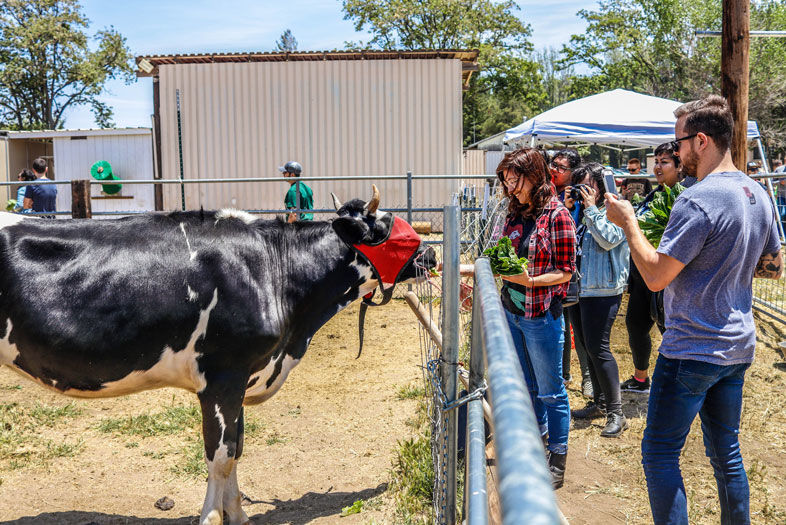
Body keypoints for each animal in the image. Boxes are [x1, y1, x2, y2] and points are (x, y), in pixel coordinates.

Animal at [0, 187, 432, 524]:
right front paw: (211, 517)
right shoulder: (223, 376)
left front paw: (237, 514)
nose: (431, 255)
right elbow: (220, 455)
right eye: (389, 230)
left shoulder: (240, 380)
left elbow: (237, 449)